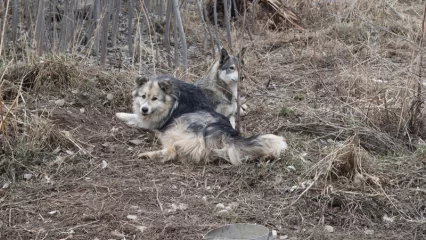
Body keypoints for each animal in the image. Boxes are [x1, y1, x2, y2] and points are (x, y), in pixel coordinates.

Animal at [115, 74, 286, 165]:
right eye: (143, 96)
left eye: (154, 98)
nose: (144, 109)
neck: (171, 96)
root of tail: (224, 131)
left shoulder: (152, 121)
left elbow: (135, 118)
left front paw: (120, 115)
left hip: (173, 128)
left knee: (171, 152)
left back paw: (147, 154)